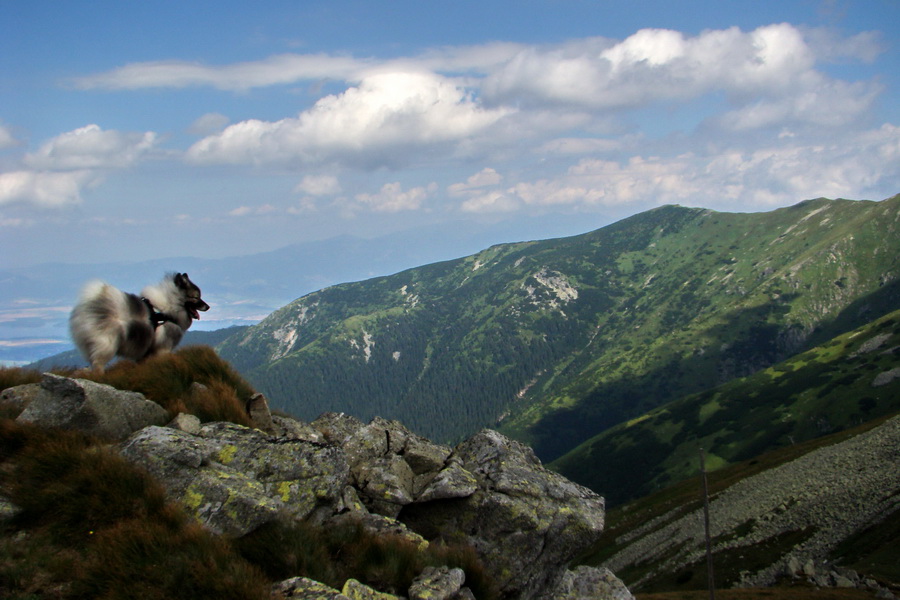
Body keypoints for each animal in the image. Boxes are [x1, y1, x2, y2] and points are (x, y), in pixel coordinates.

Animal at [69, 272, 210, 370]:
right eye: (196, 297)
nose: (208, 307)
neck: (168, 308)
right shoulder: (163, 349)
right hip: (108, 344)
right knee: (98, 363)